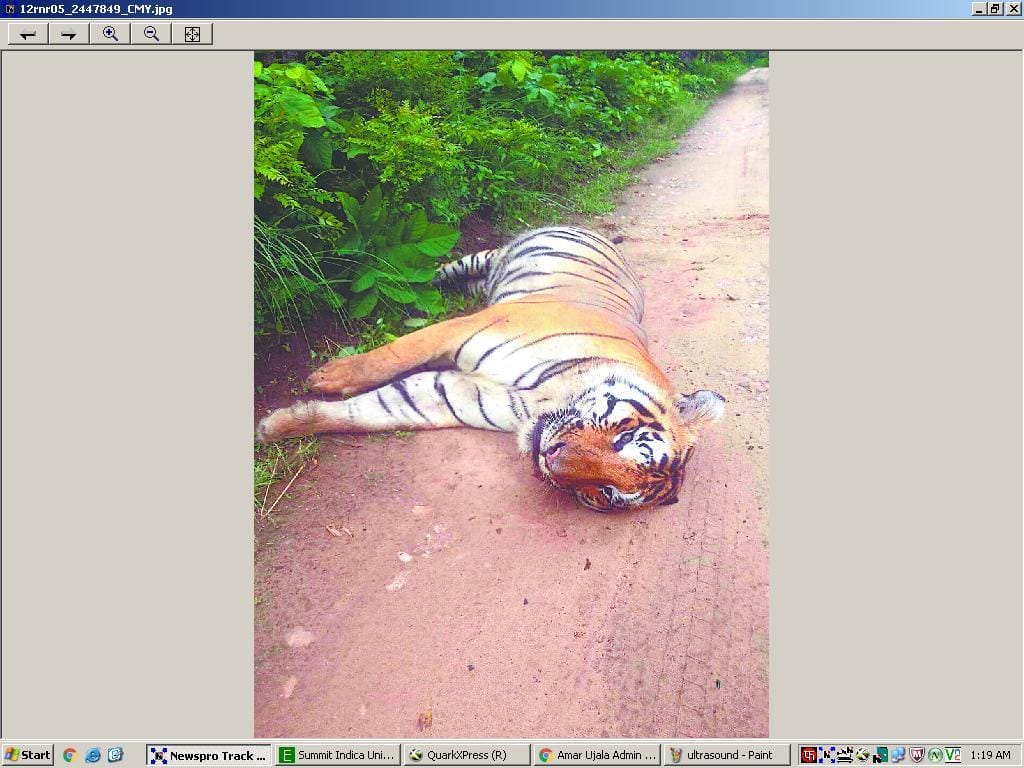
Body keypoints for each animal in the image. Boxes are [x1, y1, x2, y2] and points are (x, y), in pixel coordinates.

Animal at [256, 225, 725, 511]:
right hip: (486, 259)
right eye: (624, 438)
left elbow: (371, 411)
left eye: (607, 493)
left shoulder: (452, 394)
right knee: (439, 271)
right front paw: (327, 377)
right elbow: (389, 356)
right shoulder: (463, 329)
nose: (549, 456)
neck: (545, 397)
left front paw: (278, 426)